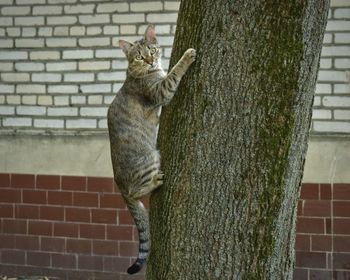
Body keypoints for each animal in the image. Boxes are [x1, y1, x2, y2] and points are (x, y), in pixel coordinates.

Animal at [106, 25, 197, 274]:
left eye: (152, 50)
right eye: (138, 56)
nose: (150, 60)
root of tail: (119, 186)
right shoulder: (161, 91)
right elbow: (174, 73)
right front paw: (187, 56)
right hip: (151, 158)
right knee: (138, 191)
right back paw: (156, 181)